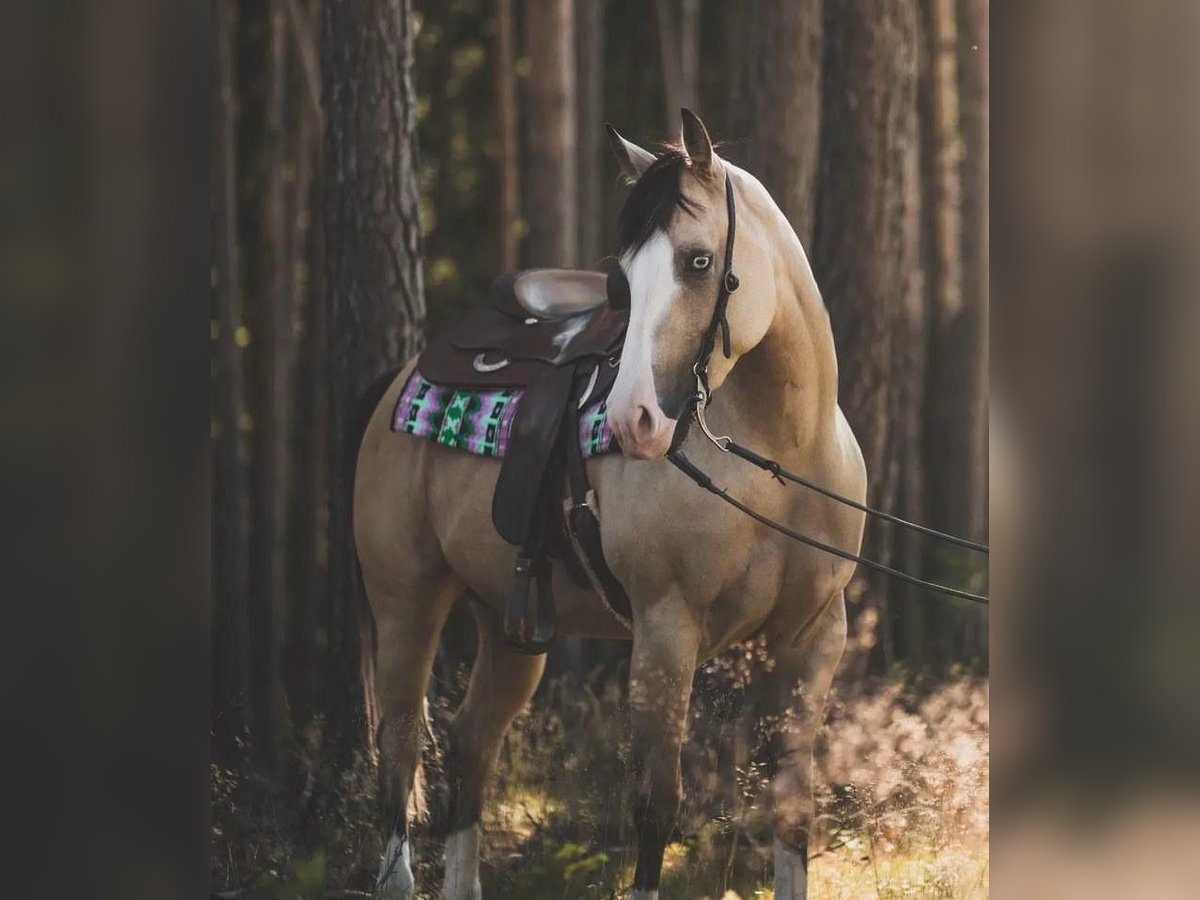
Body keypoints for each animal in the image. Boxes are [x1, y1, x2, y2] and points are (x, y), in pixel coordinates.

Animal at [350, 109, 868, 897]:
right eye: (622, 278)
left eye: (698, 262)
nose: (634, 422)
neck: (783, 460)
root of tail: (400, 380)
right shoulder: (664, 630)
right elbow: (656, 805)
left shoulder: (813, 636)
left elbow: (791, 807)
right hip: (407, 603)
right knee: (400, 752)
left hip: (507, 626)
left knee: (470, 747)